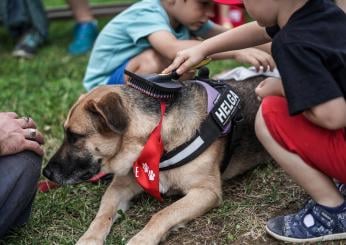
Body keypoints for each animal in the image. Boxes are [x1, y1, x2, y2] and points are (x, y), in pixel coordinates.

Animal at [43, 75, 270, 244]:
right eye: (67, 134)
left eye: (74, 136)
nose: (46, 173)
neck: (156, 138)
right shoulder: (118, 188)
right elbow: (102, 216)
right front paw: (89, 238)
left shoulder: (206, 192)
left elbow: (163, 214)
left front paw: (141, 239)